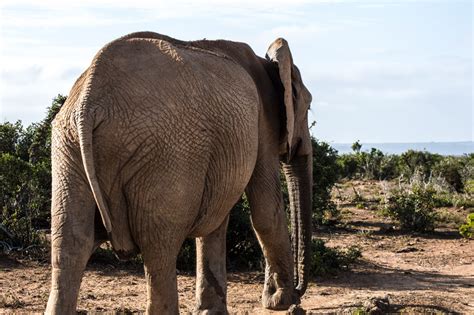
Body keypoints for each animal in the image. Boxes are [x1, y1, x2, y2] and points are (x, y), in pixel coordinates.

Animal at [43, 30, 312, 314]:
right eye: (308, 106)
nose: (298, 291)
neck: (268, 62)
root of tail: (90, 102)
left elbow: (215, 222)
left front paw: (212, 312)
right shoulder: (264, 124)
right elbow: (266, 212)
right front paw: (282, 301)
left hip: (68, 147)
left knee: (71, 243)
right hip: (165, 153)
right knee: (159, 247)